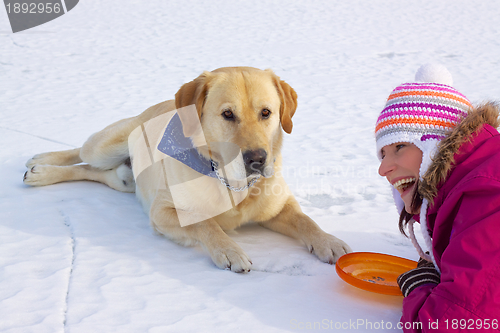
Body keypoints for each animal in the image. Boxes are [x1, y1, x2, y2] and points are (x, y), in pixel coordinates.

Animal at [23, 67, 352, 272]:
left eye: (266, 113)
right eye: (228, 114)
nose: (257, 159)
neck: (230, 184)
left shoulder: (280, 206)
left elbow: (305, 220)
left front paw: (329, 242)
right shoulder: (162, 212)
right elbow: (205, 224)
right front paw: (230, 250)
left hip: (123, 179)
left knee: (94, 172)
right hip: (105, 145)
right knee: (79, 153)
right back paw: (41, 163)